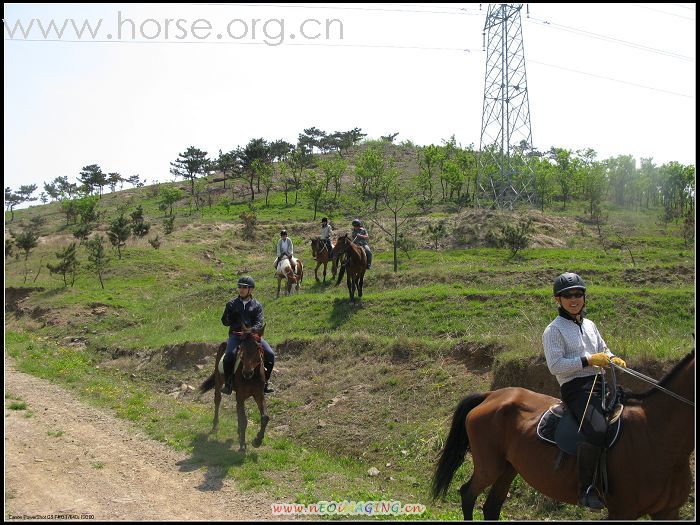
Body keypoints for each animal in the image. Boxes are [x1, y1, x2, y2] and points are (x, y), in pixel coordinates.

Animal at [432, 352, 696, 520]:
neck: (656, 433)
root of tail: (492, 395)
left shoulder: (668, 512)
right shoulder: (622, 512)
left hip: (509, 468)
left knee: (491, 508)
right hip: (490, 466)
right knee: (468, 496)